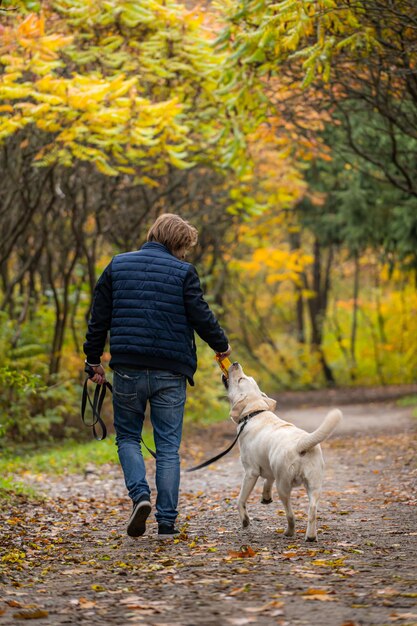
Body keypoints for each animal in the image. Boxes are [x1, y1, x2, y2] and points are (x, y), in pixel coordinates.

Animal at [228, 360, 342, 540]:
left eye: (241, 379)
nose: (234, 362)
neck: (255, 413)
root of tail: (301, 444)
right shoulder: (268, 467)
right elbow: (267, 481)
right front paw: (266, 497)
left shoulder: (250, 472)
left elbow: (240, 499)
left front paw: (245, 520)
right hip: (315, 485)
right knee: (312, 510)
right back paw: (310, 536)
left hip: (283, 486)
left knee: (291, 514)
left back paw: (289, 532)